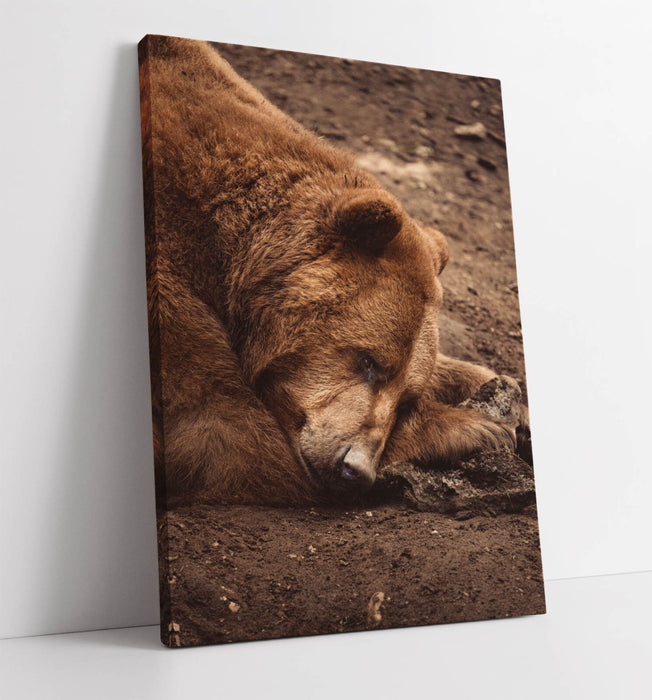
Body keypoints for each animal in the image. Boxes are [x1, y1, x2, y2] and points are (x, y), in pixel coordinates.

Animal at [138, 35, 518, 507]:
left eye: (406, 397)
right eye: (369, 361)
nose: (355, 468)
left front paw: (505, 394)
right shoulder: (168, 286)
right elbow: (223, 430)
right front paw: (481, 428)